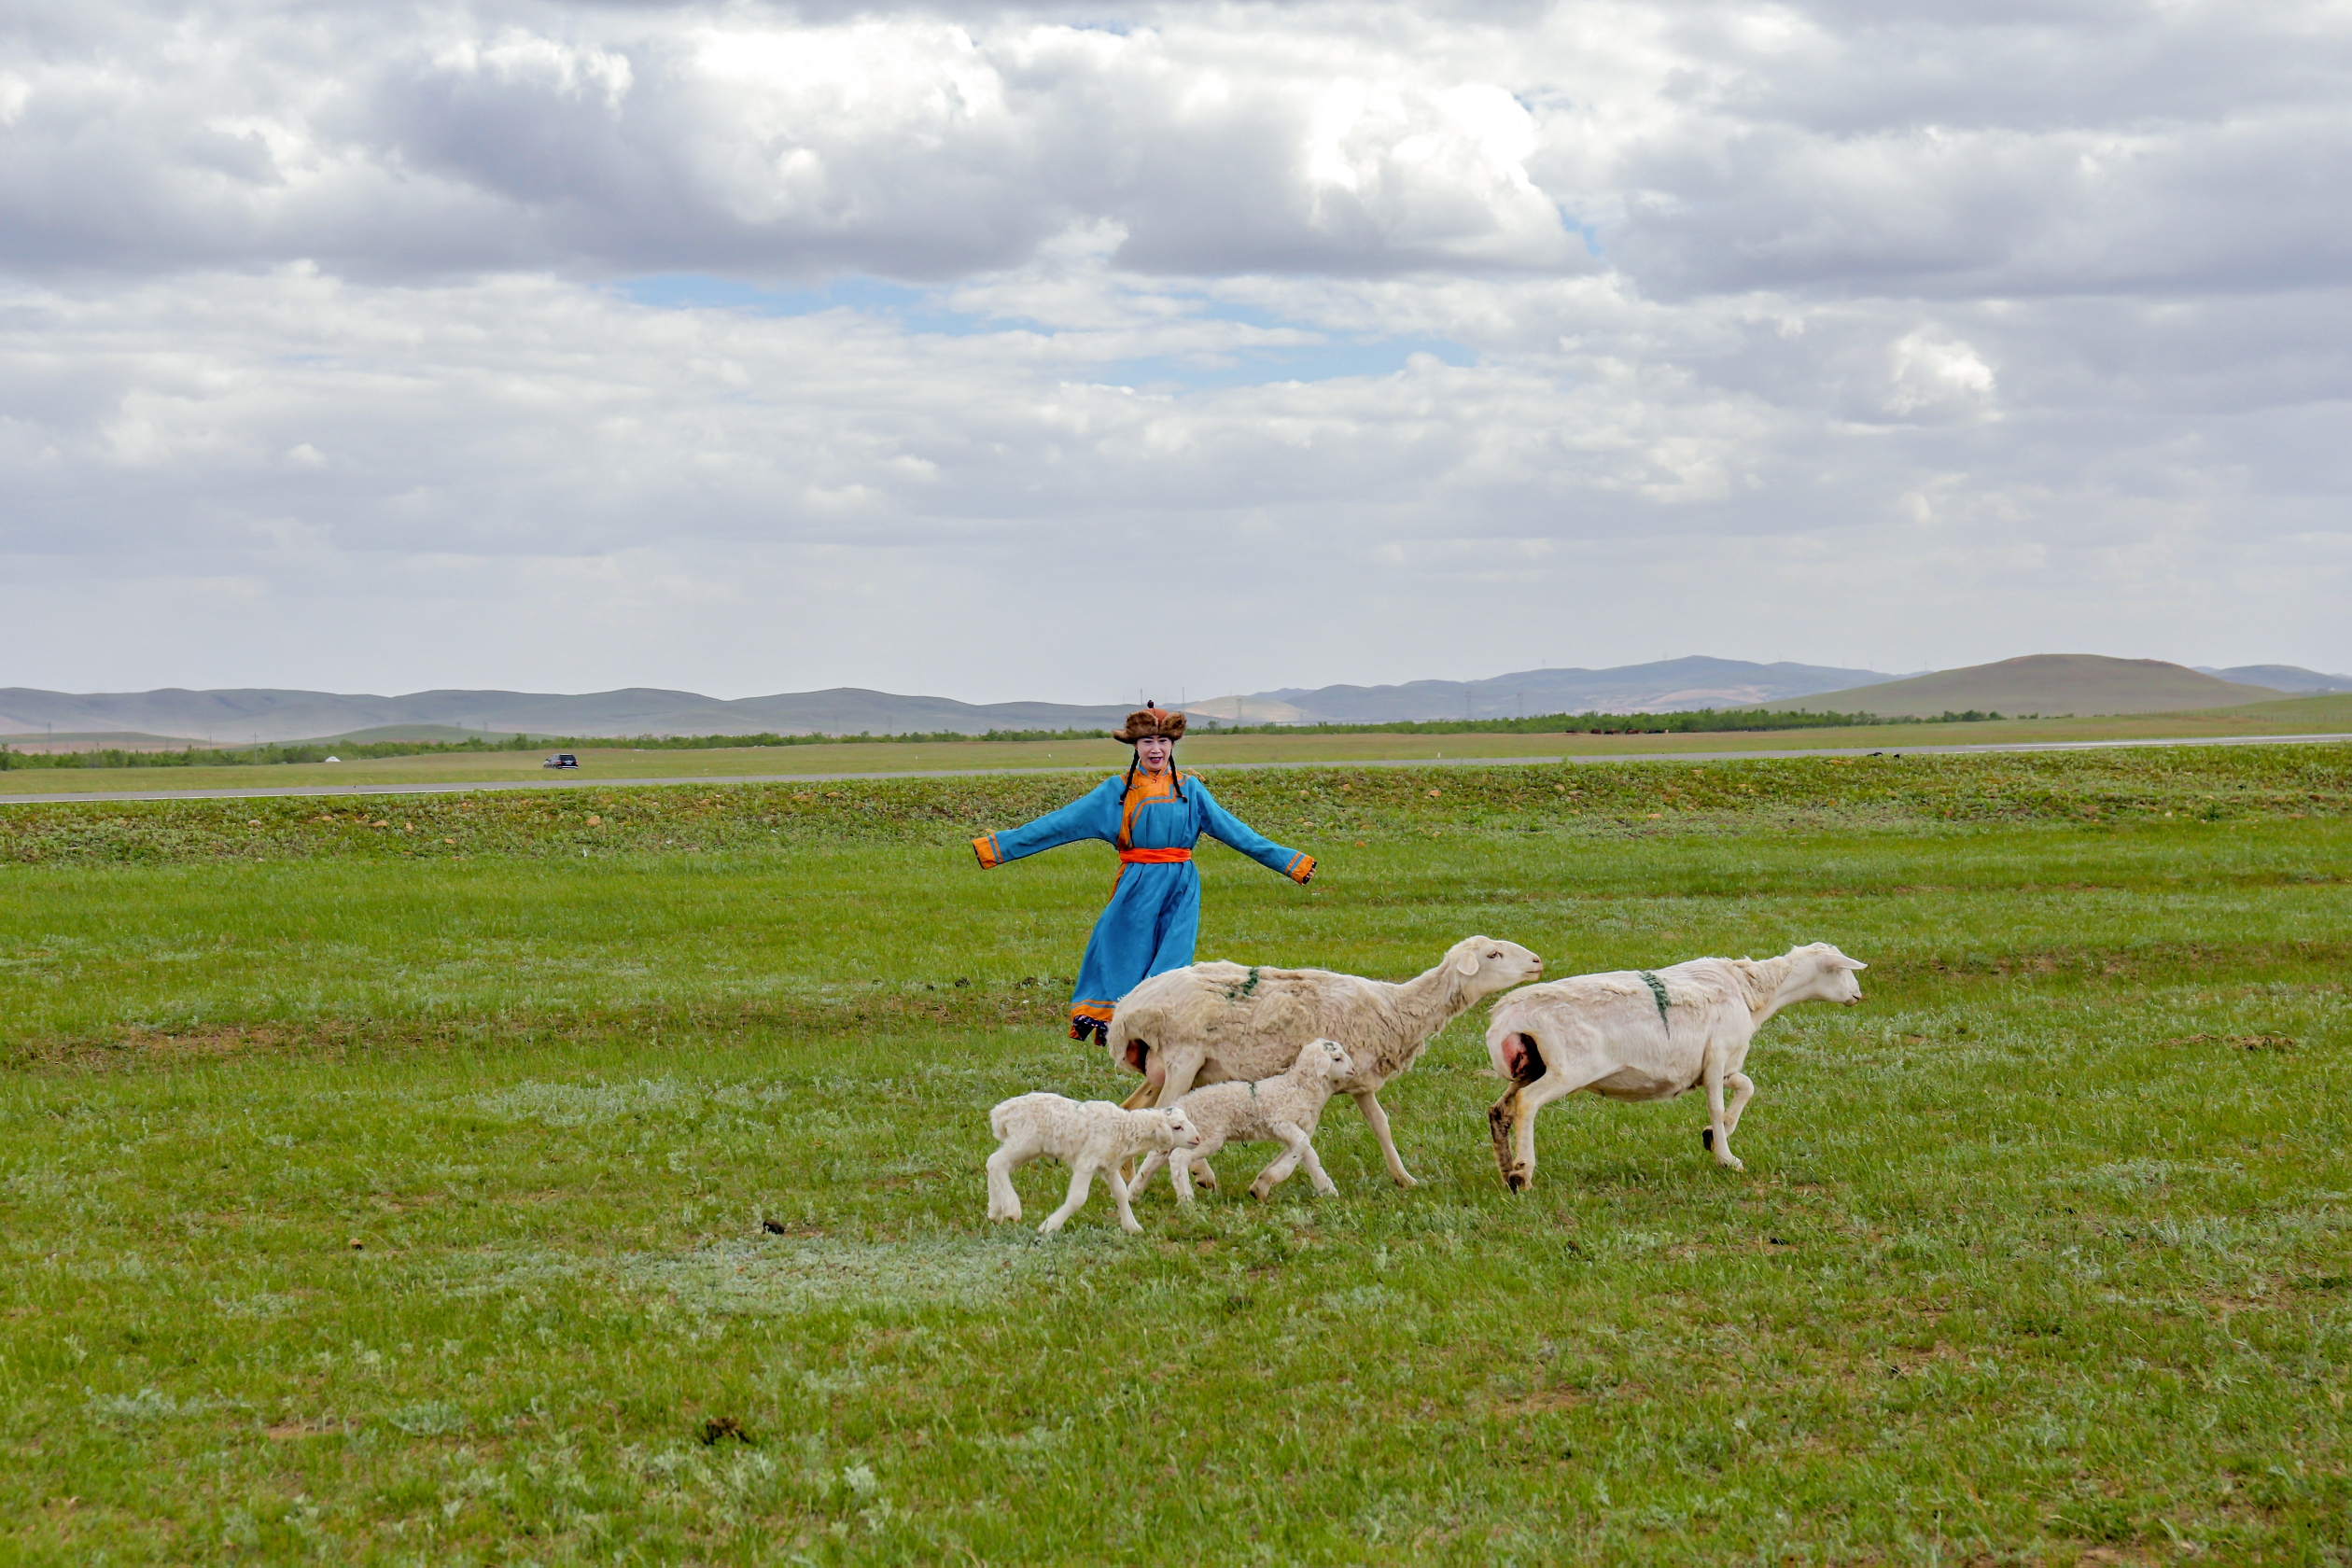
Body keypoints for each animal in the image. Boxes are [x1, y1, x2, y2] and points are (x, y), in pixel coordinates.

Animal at [983, 1090, 1204, 1240]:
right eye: (1177, 1127)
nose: (1198, 1139)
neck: (1122, 1129)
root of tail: (1001, 1113)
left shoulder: (1108, 1165)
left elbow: (1121, 1192)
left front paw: (1132, 1227)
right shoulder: (1086, 1163)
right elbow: (1078, 1198)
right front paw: (1049, 1227)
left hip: (1028, 1147)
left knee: (994, 1163)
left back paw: (995, 1211)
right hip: (1025, 1142)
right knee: (997, 1162)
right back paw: (1012, 1209)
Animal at [1124, 1043, 1354, 1203]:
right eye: (1337, 1058)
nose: (1353, 1070)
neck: (1300, 1087)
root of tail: (1182, 1104)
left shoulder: (1296, 1128)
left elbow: (1308, 1154)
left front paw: (1328, 1191)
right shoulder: (1281, 1120)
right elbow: (1302, 1147)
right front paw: (1272, 1178)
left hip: (1181, 1136)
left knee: (1155, 1158)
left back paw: (1132, 1194)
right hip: (1208, 1135)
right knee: (1178, 1158)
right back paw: (1187, 1200)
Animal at [1477, 945, 1862, 1189]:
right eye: (1843, 969)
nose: (1858, 995)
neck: (1751, 992)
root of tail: (1505, 1017)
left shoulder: (1715, 1066)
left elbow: (1747, 1086)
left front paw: (1713, 1135)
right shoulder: (1717, 1056)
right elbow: (1717, 1103)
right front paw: (1727, 1157)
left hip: (1529, 1066)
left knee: (1500, 1110)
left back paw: (1505, 1171)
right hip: (1567, 1069)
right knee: (1528, 1103)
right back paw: (1522, 1174)